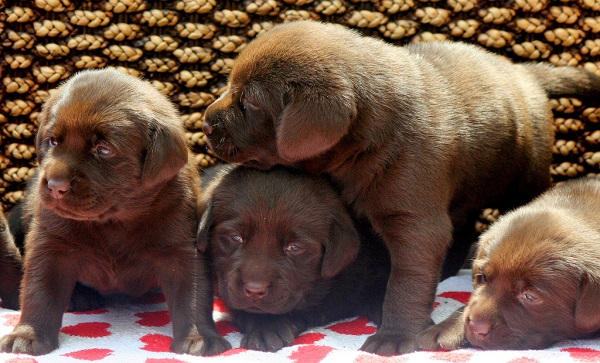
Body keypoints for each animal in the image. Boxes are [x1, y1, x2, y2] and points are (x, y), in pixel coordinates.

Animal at [0, 69, 230, 356]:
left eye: (103, 149)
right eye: (52, 141)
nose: (54, 186)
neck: (113, 220)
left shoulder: (182, 247)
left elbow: (193, 295)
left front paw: (199, 337)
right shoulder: (50, 244)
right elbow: (38, 291)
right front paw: (27, 335)